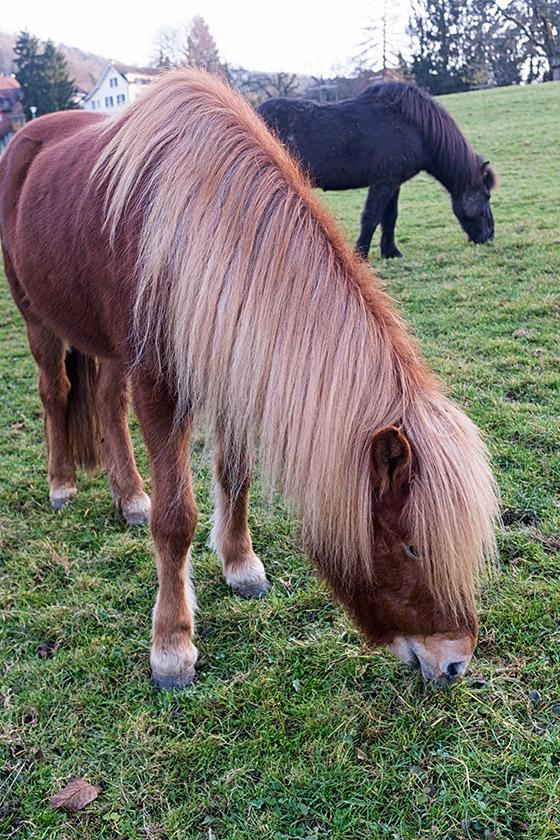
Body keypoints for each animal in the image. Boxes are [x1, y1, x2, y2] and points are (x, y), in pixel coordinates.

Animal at [256, 83, 496, 260]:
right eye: (486, 196)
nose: (489, 235)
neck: (414, 126)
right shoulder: (383, 182)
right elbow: (371, 217)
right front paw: (361, 256)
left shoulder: (394, 183)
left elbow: (390, 217)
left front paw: (390, 252)